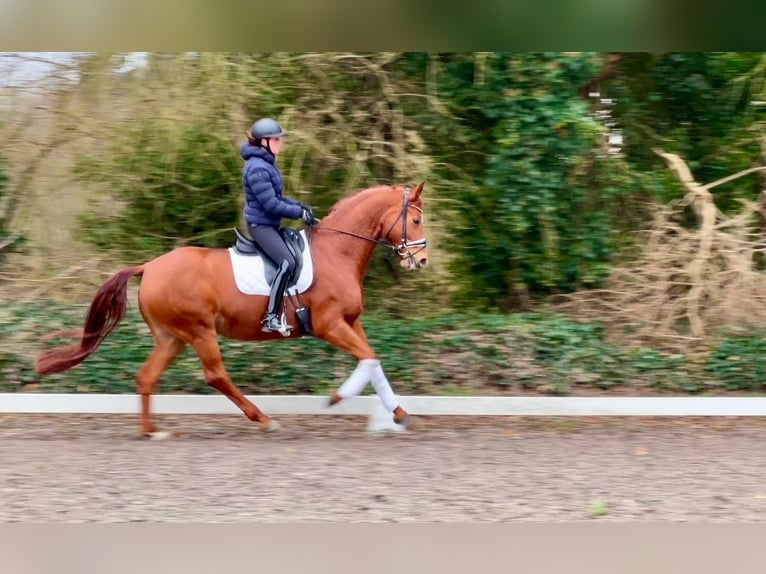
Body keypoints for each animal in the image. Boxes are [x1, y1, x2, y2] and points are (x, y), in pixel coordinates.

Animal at [34, 182, 432, 438]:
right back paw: (264, 420)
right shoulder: (330, 324)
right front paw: (337, 398)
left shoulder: (352, 321)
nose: (422, 261)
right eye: (415, 221)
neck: (338, 252)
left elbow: (374, 361)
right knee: (215, 376)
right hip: (199, 331)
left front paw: (400, 415)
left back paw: (151, 432)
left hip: (172, 337)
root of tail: (149, 267)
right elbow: (369, 358)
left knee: (147, 377)